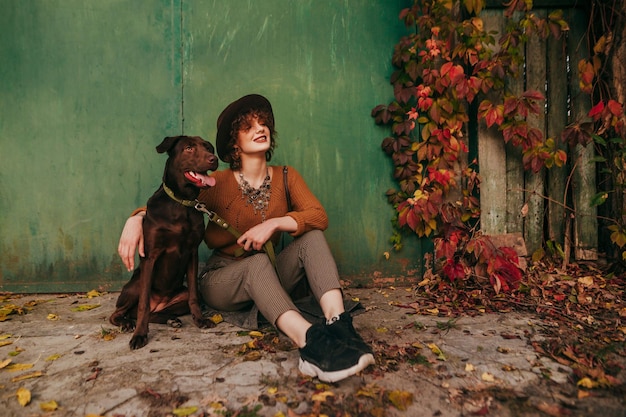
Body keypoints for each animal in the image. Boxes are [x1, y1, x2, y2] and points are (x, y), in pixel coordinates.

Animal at [109, 134, 219, 348]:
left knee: (158, 311)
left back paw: (170, 319)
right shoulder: (150, 255)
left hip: (179, 296)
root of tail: (159, 303)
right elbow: (143, 305)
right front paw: (140, 335)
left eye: (208, 147)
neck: (181, 203)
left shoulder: (192, 252)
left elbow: (194, 296)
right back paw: (126, 323)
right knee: (122, 312)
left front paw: (200, 320)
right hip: (135, 284)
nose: (214, 159)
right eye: (189, 148)